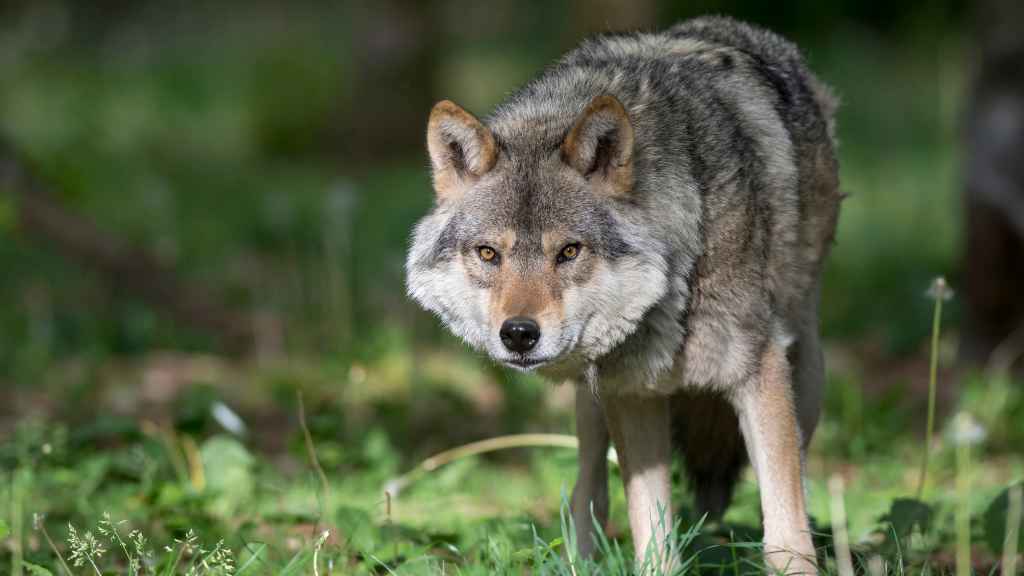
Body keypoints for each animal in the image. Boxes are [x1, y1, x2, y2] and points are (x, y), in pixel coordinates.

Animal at [405, 15, 839, 569]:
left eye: (569, 251)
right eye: (488, 254)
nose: (519, 334)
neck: (675, 283)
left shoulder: (758, 376)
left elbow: (786, 531)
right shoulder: (631, 394)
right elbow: (651, 534)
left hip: (807, 378)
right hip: (591, 404)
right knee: (587, 490)